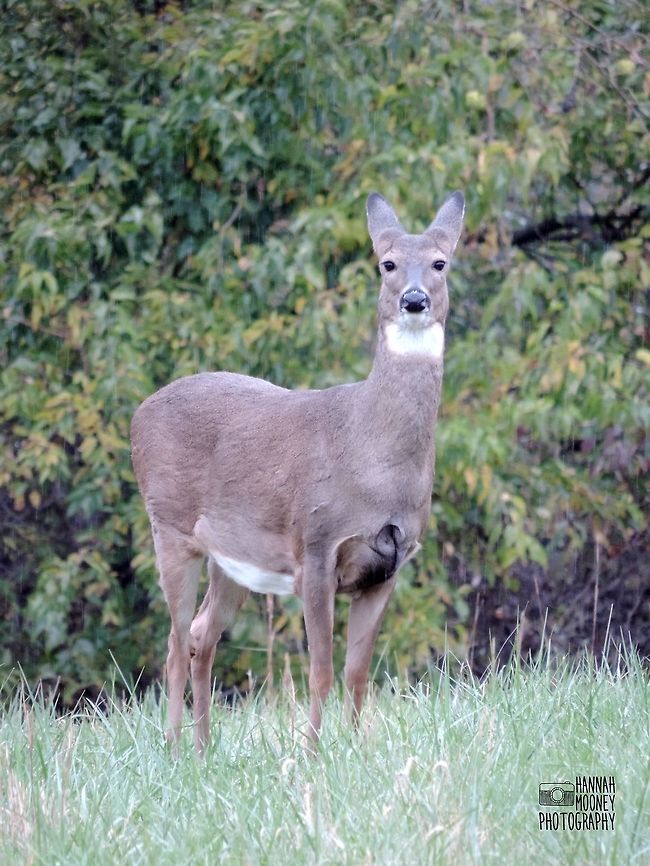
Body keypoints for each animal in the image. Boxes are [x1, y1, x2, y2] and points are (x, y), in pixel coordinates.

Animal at [130, 190, 465, 753]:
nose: (414, 300)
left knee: (200, 634)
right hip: (168, 525)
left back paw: (203, 748)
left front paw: (358, 749)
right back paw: (175, 748)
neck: (372, 458)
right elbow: (321, 671)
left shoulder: (390, 563)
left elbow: (357, 672)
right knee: (175, 641)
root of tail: (137, 414)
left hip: (231, 558)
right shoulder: (317, 544)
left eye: (440, 263)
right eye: (387, 263)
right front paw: (310, 752)